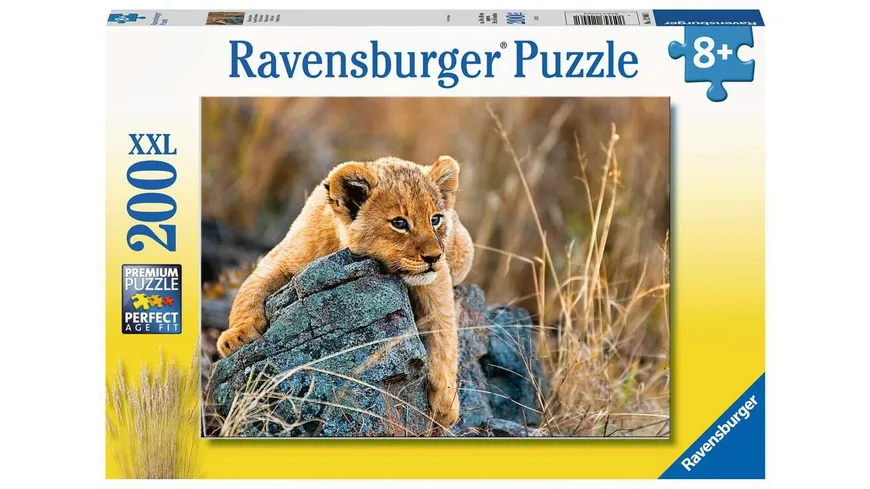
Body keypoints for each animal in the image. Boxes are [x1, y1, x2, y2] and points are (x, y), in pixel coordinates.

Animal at [217, 155, 474, 428]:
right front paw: (236, 337)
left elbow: (444, 332)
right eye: (399, 223)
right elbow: (250, 288)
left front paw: (446, 403)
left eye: (435, 219)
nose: (434, 257)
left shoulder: (437, 280)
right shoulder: (282, 257)